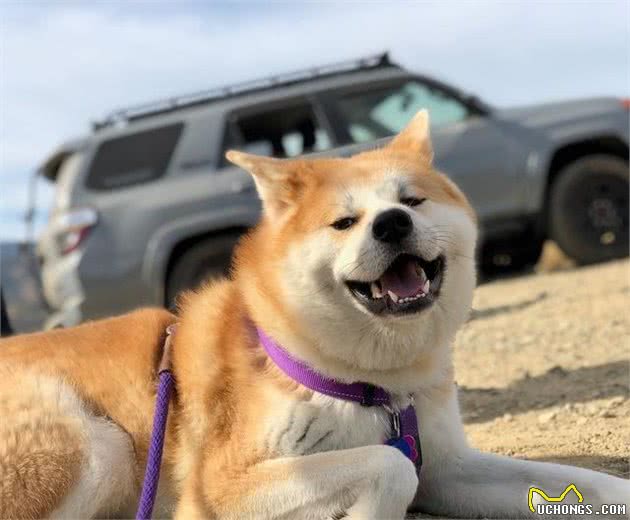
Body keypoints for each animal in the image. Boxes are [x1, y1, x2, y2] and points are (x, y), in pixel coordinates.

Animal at [1, 108, 630, 516]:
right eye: (344, 222)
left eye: (412, 200)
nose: (392, 223)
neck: (374, 385)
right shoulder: (223, 486)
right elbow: (390, 468)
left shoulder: (449, 466)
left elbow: (587, 483)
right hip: (96, 448)